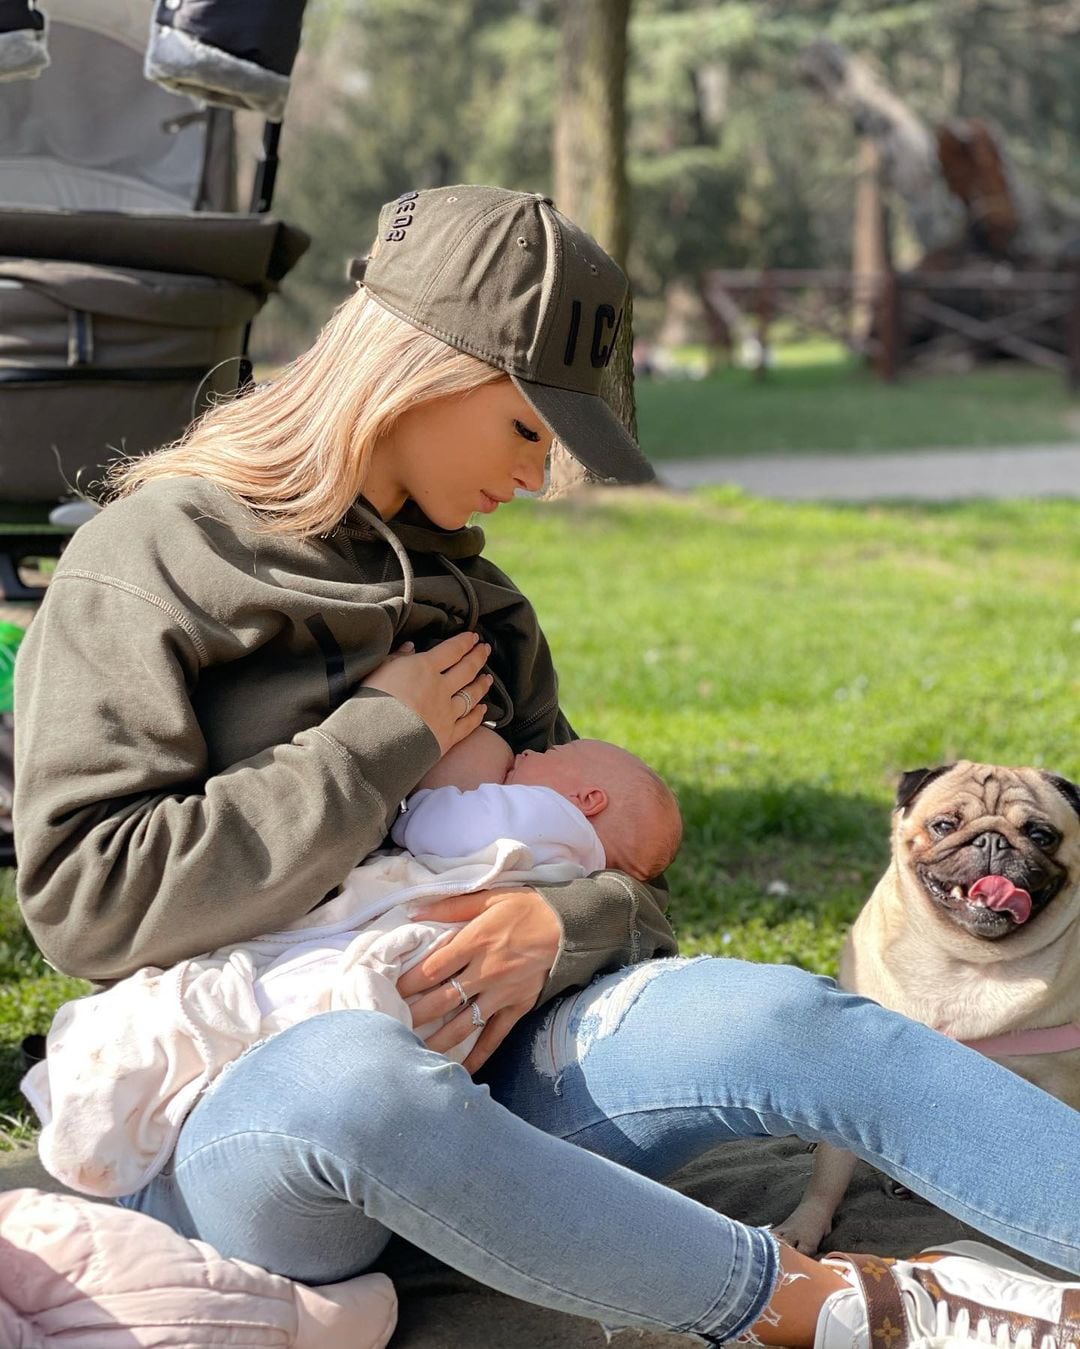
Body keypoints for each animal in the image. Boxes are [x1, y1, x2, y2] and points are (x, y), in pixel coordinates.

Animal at [776, 760, 1078, 1251]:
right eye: (944, 826)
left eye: (1041, 834)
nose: (992, 841)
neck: (967, 963)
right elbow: (828, 1174)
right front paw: (802, 1231)